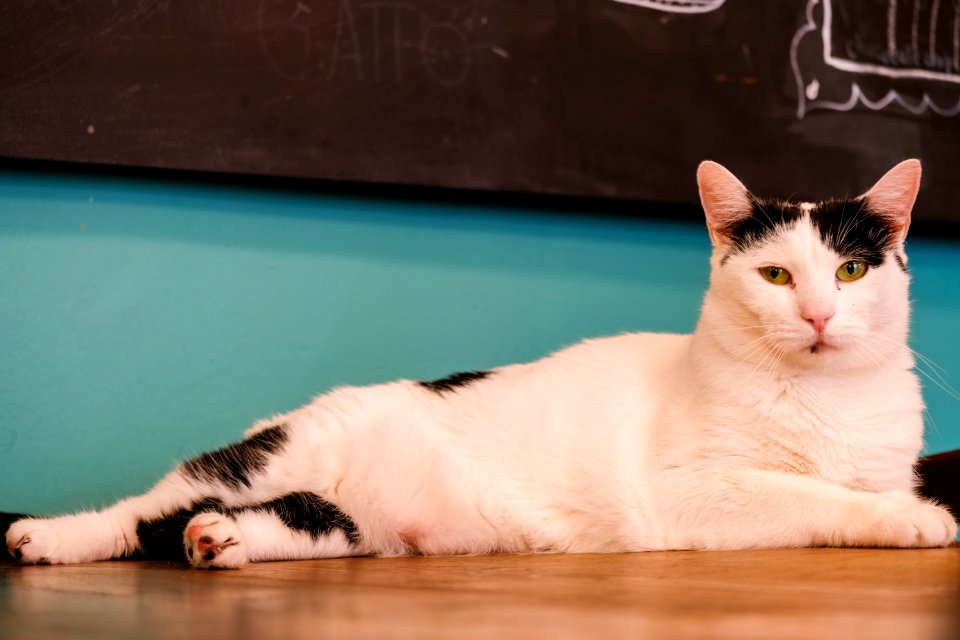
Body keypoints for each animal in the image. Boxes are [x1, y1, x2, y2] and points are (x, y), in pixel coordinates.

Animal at [3, 158, 956, 568]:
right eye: (775, 275)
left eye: (851, 270)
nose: (820, 314)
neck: (823, 399)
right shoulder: (700, 491)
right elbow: (819, 498)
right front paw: (915, 521)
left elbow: (855, 488)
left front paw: (905, 508)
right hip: (274, 454)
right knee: (142, 511)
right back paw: (52, 537)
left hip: (345, 526)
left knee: (258, 521)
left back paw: (218, 541)